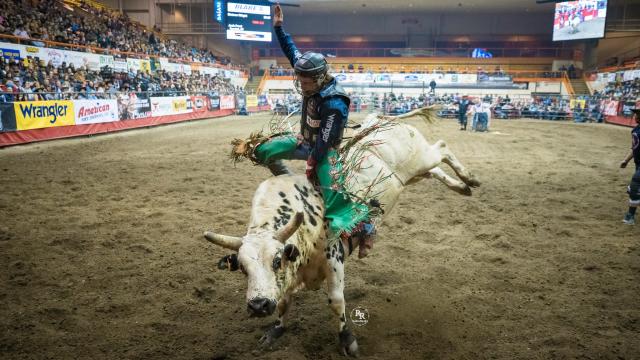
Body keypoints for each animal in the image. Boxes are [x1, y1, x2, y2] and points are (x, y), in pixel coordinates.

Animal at [205, 112, 480, 358]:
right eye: (242, 267)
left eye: (276, 260)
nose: (258, 306)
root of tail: (384, 118)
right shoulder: (291, 275)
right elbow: (283, 302)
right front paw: (275, 331)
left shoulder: (333, 257)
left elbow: (336, 301)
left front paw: (348, 341)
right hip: (414, 174)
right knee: (436, 170)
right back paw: (462, 187)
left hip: (421, 158)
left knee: (442, 148)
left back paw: (470, 178)